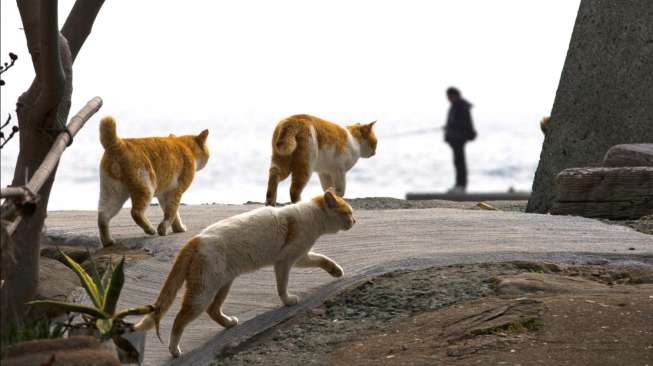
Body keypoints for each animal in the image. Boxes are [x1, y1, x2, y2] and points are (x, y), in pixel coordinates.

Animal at [97, 116, 209, 246]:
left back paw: (108, 241)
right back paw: (150, 229)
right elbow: (171, 212)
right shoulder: (176, 191)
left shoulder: (164, 194)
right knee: (135, 212)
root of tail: (117, 143)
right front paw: (164, 229)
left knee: (103, 217)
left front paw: (178, 228)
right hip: (145, 187)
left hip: (112, 193)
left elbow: (174, 213)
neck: (186, 147)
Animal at [134, 189, 354, 358]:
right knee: (180, 319)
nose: (355, 220)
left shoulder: (301, 257)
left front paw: (336, 271)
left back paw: (229, 323)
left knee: (213, 310)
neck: (313, 215)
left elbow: (322, 259)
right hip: (203, 291)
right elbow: (282, 285)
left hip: (223, 283)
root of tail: (194, 240)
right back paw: (174, 349)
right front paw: (288, 301)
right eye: (348, 213)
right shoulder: (285, 261)